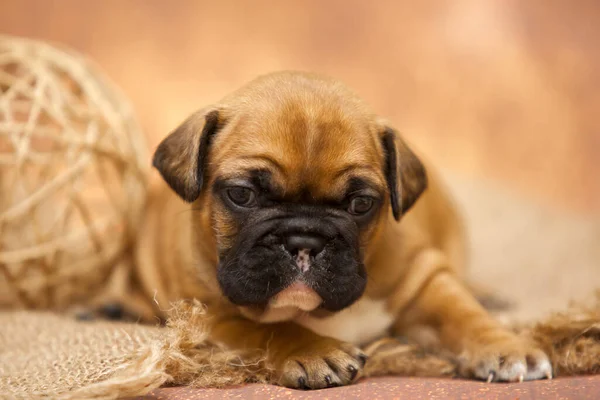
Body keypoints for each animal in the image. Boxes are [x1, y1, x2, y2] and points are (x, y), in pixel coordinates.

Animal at [137, 71, 552, 388]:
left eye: (361, 204)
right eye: (242, 194)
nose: (304, 240)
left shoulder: (425, 276)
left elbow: (462, 312)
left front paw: (507, 347)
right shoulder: (208, 317)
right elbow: (266, 330)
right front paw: (314, 351)